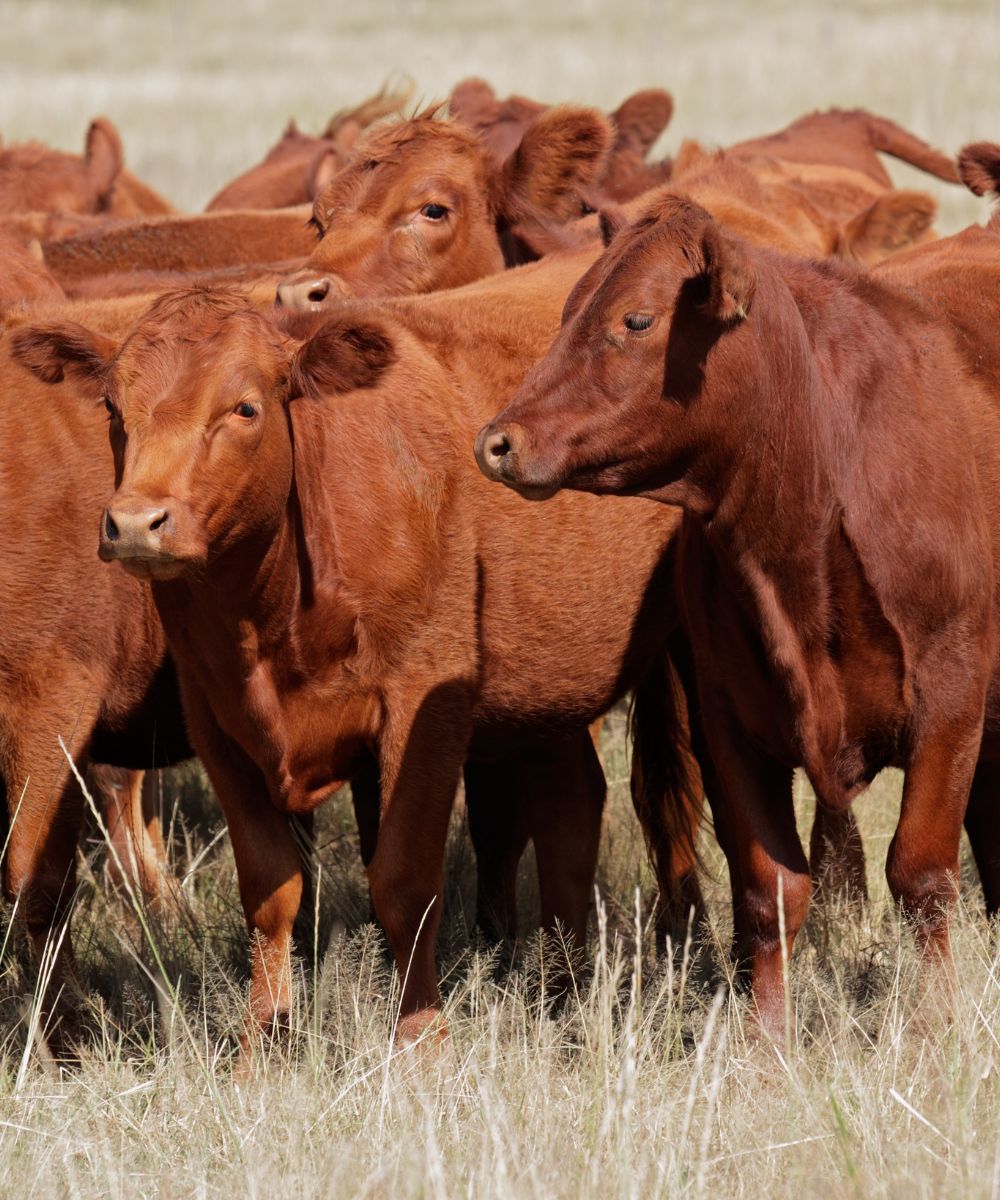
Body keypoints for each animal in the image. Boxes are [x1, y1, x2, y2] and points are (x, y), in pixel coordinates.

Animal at [15, 262, 701, 1051]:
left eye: (245, 408)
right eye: (112, 405)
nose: (135, 523)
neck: (270, 614)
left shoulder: (423, 705)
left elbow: (403, 880)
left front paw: (421, 1041)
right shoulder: (217, 724)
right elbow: (271, 889)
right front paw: (263, 1044)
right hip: (547, 685)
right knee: (571, 804)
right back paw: (562, 992)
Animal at [472, 192, 998, 1036]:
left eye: (637, 320)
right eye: (568, 308)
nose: (498, 442)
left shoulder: (951, 706)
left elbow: (921, 876)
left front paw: (936, 1026)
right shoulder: (730, 722)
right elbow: (769, 892)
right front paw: (766, 1040)